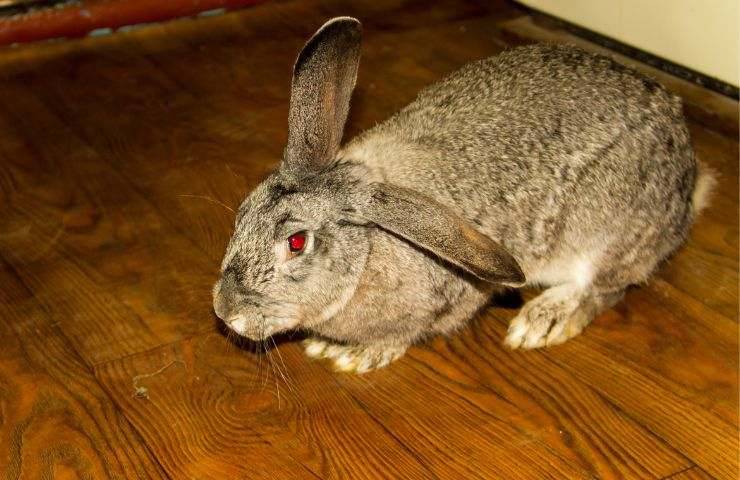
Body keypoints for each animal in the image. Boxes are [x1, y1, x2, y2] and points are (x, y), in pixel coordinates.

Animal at [212, 17, 713, 373]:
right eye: (242, 212)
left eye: (296, 243)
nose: (224, 311)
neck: (370, 238)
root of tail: (688, 180)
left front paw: (354, 355)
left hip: (606, 234)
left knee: (603, 288)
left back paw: (542, 321)